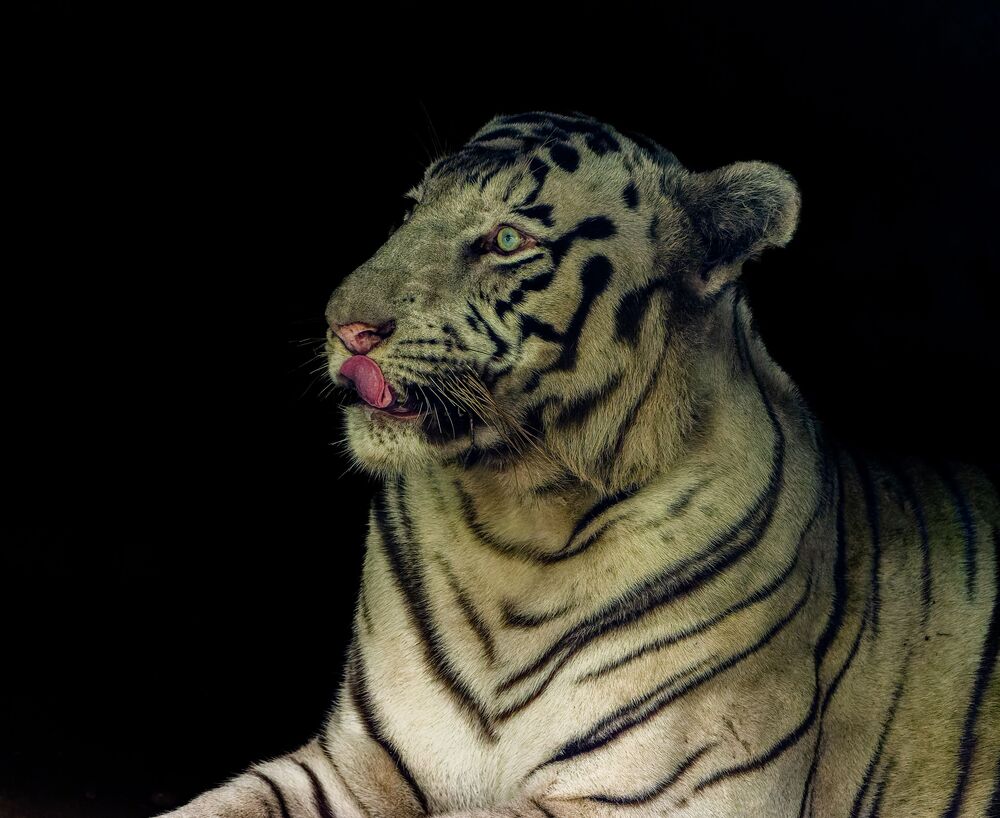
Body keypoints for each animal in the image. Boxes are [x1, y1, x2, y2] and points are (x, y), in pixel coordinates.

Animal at [163, 112, 999, 817]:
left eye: (506, 241)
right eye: (409, 210)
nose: (346, 326)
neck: (511, 523)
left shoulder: (655, 794)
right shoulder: (354, 764)